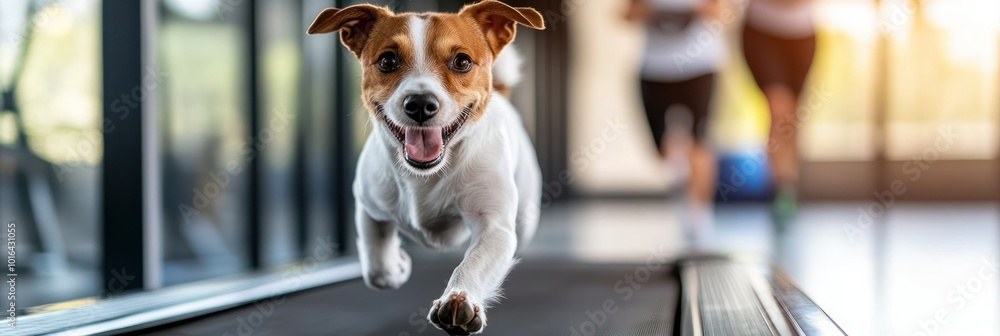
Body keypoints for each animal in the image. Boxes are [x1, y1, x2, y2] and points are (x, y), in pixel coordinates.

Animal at [306, 1, 544, 334]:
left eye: (462, 61)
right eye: (388, 60)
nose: (420, 103)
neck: (426, 174)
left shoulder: (495, 226)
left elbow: (473, 263)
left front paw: (459, 298)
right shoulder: (369, 207)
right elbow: (377, 267)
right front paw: (398, 265)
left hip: (525, 218)